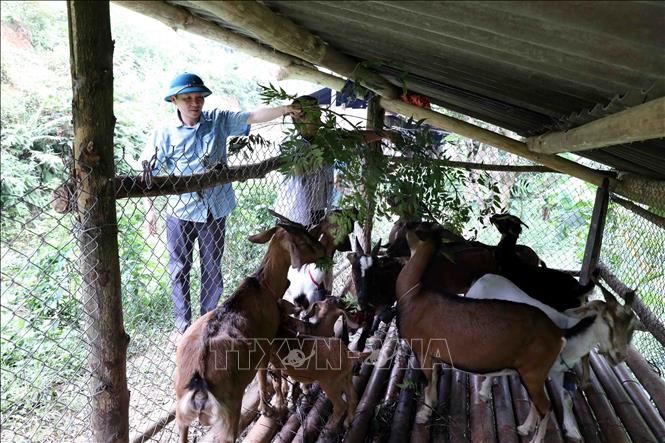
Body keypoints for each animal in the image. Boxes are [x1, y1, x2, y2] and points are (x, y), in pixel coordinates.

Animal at [172, 219, 326, 443]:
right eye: (304, 240)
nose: (323, 249)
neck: (264, 286)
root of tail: (198, 382)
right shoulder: (266, 344)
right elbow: (266, 376)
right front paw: (269, 408)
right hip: (229, 412)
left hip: (181, 415)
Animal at [394, 225, 580, 443]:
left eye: (419, 229)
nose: (406, 228)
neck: (413, 295)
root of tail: (558, 332)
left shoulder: (422, 350)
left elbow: (428, 383)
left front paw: (423, 414)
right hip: (533, 373)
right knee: (539, 402)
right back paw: (524, 428)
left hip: (533, 372)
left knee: (546, 406)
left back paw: (535, 438)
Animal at [466, 278, 640, 440]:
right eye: (606, 319)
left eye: (632, 328)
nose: (620, 355)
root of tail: (484, 277)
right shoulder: (536, 371)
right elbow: (536, 401)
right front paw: (526, 427)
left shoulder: (557, 370)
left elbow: (566, 396)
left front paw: (572, 429)